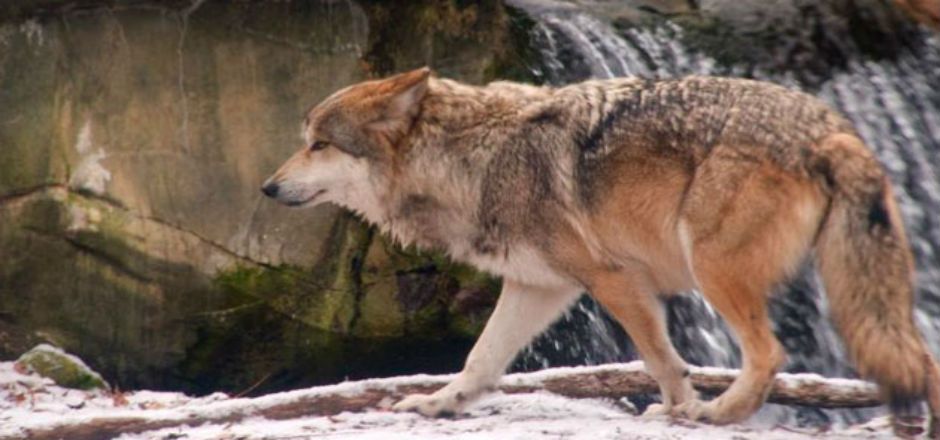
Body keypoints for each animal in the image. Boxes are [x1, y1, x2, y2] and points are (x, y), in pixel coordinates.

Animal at [262, 67, 940, 436]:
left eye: (320, 144)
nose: (267, 188)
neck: (472, 158)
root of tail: (834, 128)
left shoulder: (611, 280)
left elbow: (663, 362)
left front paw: (679, 411)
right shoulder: (539, 287)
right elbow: (480, 361)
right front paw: (438, 403)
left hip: (713, 270)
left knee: (770, 354)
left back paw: (716, 415)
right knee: (920, 361)